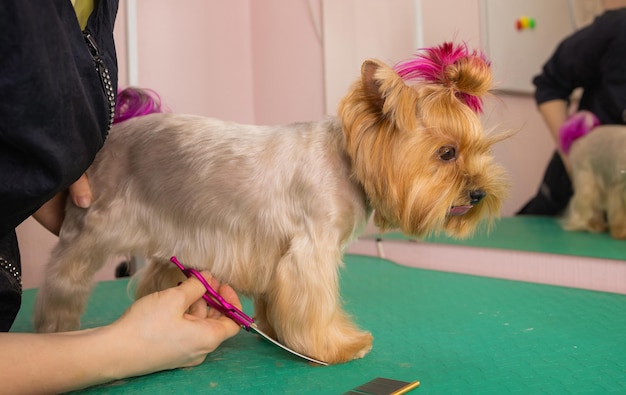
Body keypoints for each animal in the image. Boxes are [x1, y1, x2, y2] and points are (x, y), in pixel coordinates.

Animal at [33, 42, 508, 366]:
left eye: (481, 150)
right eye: (446, 153)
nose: (479, 194)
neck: (347, 161)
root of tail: (115, 133)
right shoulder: (310, 251)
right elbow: (315, 305)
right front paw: (338, 346)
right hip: (90, 228)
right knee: (62, 280)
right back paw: (56, 331)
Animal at [556, 112, 624, 241]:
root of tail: (581, 137)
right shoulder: (619, 188)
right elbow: (620, 214)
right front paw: (621, 231)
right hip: (587, 182)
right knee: (584, 207)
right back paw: (592, 225)